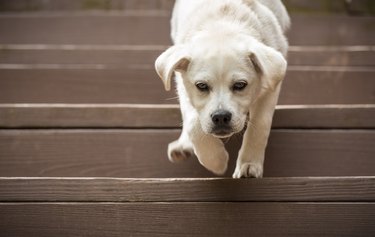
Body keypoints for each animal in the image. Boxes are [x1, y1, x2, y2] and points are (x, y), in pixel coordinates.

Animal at [156, 0, 290, 178]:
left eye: (240, 85)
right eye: (201, 86)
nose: (220, 117)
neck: (222, 23)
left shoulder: (270, 85)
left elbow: (261, 124)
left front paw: (249, 165)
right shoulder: (183, 87)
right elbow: (193, 124)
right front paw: (216, 161)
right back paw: (183, 145)